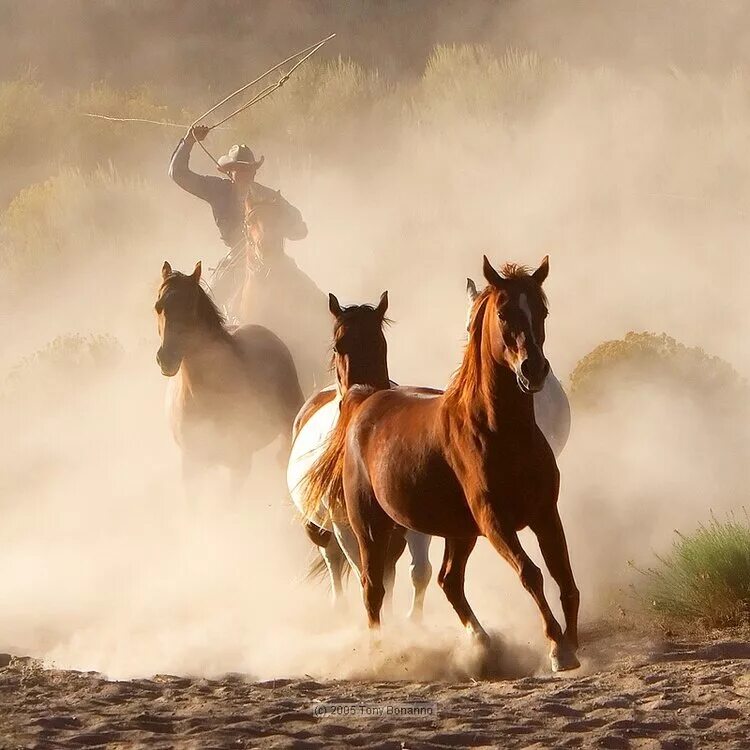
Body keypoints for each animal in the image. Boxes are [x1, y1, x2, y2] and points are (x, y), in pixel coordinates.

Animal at [290, 296, 438, 620]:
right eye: (338, 346)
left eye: (380, 343)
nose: (362, 393)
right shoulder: (348, 527)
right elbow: (366, 578)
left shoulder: (408, 525)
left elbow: (420, 573)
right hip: (322, 529)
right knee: (334, 562)